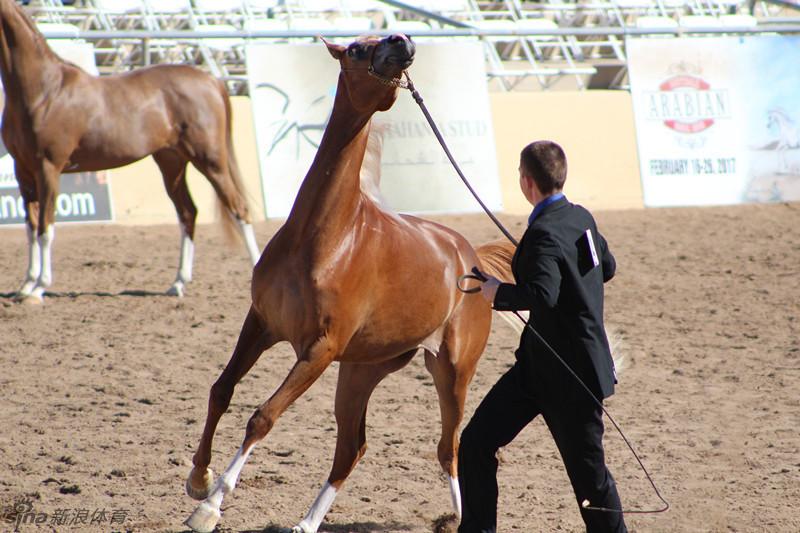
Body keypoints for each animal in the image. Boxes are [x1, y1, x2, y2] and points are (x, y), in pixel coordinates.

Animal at [0, 0, 260, 302]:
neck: (44, 90)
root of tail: (211, 80)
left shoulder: (49, 168)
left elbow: (45, 227)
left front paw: (40, 287)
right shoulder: (23, 171)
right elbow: (30, 228)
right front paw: (26, 285)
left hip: (211, 161)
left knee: (239, 209)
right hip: (172, 163)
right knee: (188, 213)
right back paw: (178, 284)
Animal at [184, 34, 516, 532]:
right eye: (357, 48)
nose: (402, 41)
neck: (323, 238)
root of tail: (471, 257)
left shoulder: (319, 349)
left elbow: (262, 417)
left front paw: (211, 504)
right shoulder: (261, 323)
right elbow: (221, 391)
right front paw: (199, 480)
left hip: (452, 370)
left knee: (448, 448)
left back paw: (457, 517)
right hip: (361, 371)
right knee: (351, 448)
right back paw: (306, 523)